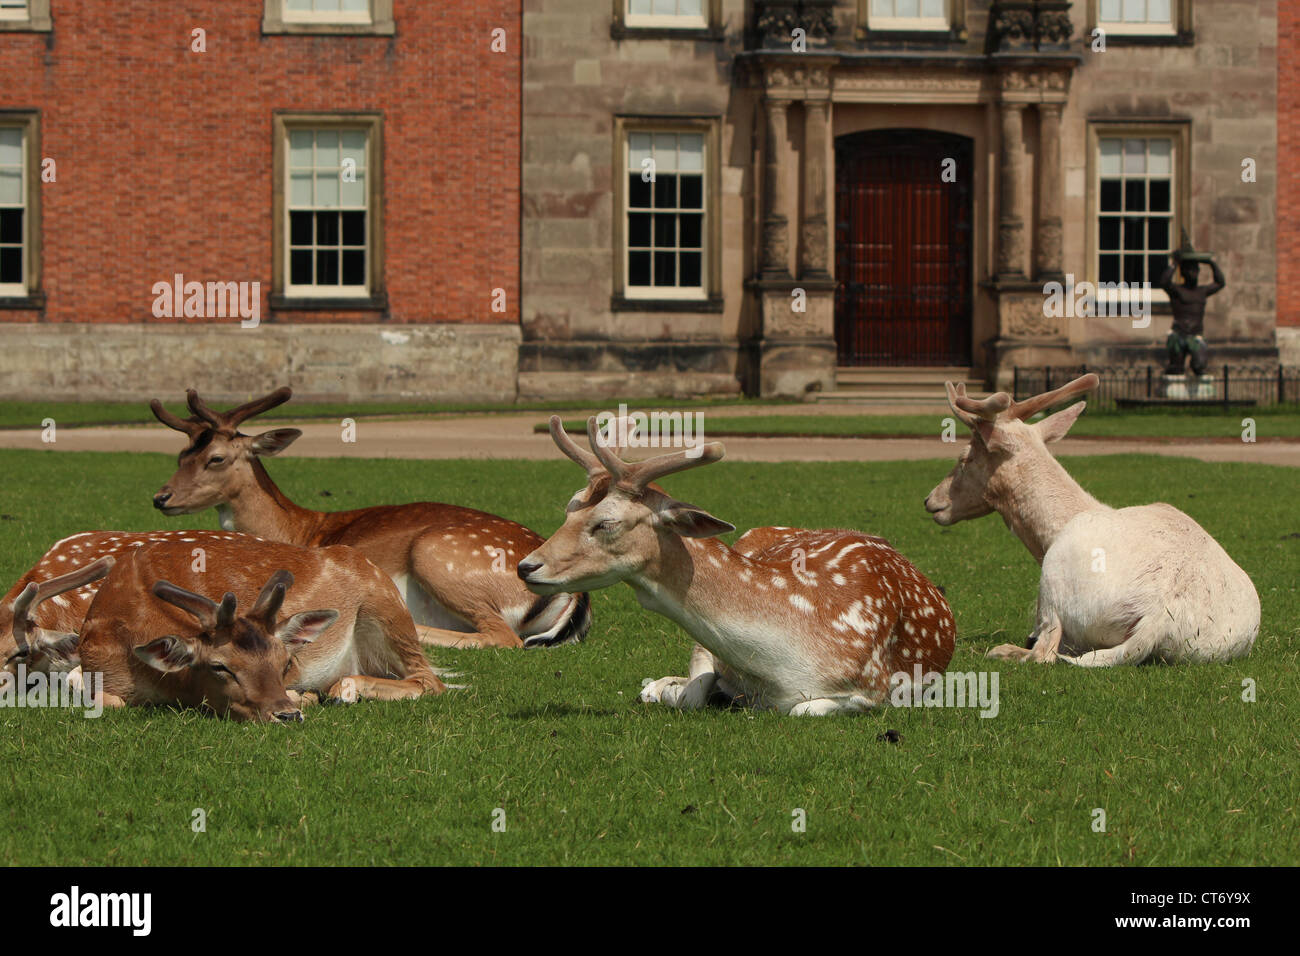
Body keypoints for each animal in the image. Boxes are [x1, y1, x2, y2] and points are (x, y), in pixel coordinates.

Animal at [81, 535, 449, 723]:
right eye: (219, 666)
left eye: (286, 663)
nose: (287, 715)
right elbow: (103, 699)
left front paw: (304, 696)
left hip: (388, 610)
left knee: (430, 679)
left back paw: (343, 690)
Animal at [150, 390, 595, 650]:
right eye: (181, 455)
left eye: (216, 458)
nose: (160, 496)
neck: (297, 528)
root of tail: (578, 596)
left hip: (437, 554)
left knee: (502, 636)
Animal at [514, 416, 956, 712]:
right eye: (569, 509)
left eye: (606, 523)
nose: (526, 567)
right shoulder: (706, 649)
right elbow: (693, 690)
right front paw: (664, 686)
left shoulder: (874, 689)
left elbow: (804, 707)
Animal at [920, 371, 1263, 665]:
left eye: (964, 457)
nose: (931, 500)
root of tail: (1158, 617)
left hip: (1052, 584)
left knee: (1044, 651)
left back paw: (1004, 650)